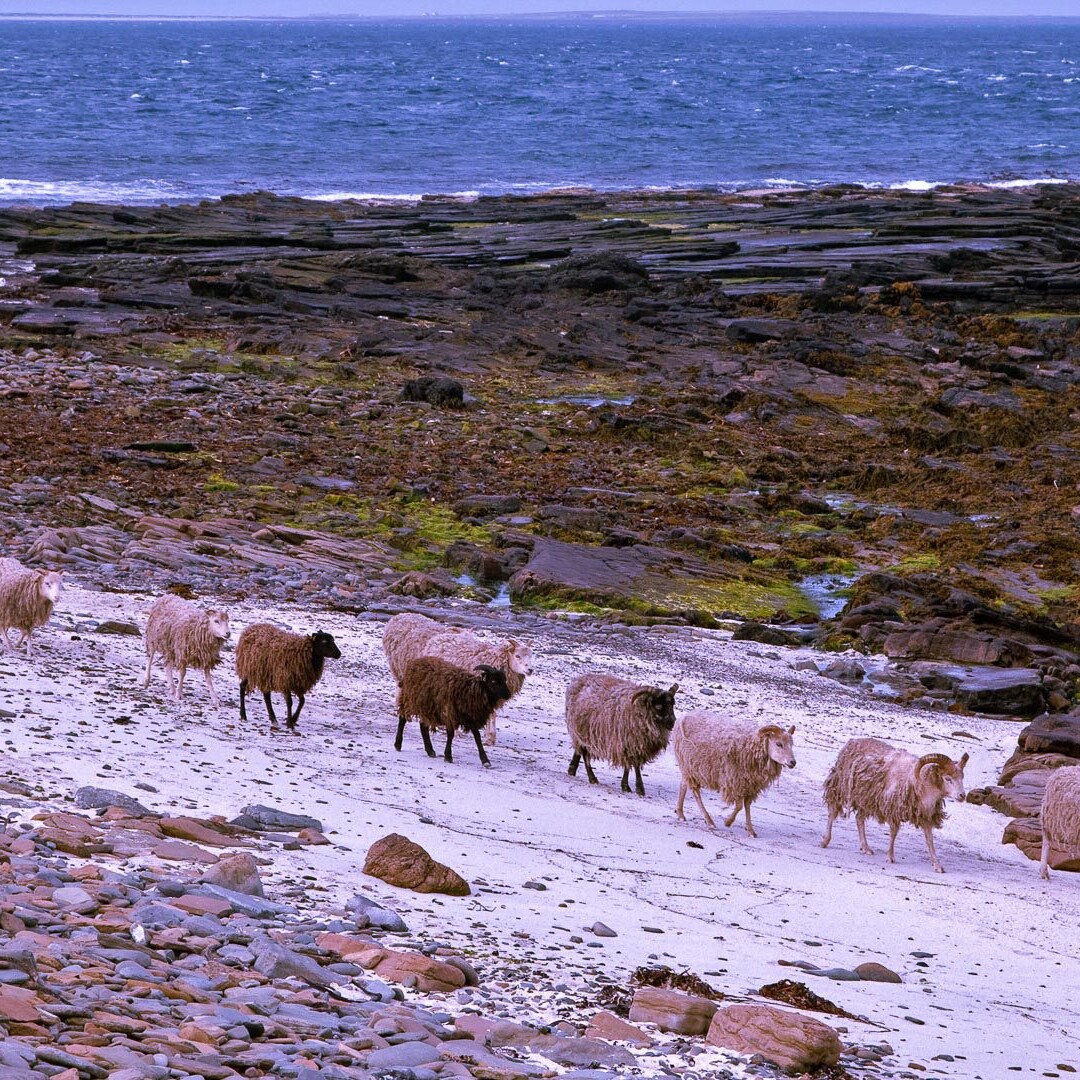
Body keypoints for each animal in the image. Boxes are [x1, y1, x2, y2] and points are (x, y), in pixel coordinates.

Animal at [820, 737, 968, 873]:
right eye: (947, 778)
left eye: (962, 777)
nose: (962, 796)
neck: (919, 783)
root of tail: (851, 742)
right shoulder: (893, 808)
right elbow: (893, 832)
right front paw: (890, 856)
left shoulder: (925, 814)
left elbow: (929, 840)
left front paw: (937, 865)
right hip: (840, 786)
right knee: (832, 811)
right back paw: (825, 841)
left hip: (867, 797)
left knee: (859, 819)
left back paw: (866, 848)